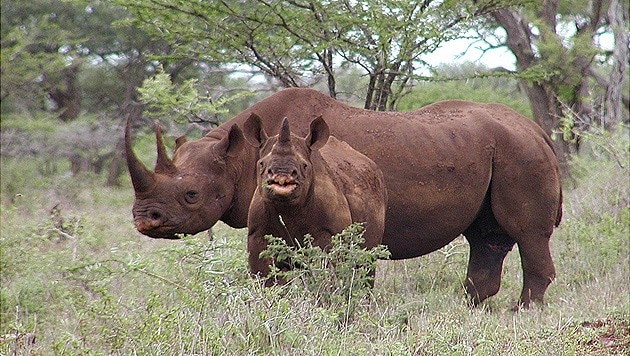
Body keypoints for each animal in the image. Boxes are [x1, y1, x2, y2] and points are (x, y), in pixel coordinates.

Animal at [243, 114, 388, 280]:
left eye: (304, 166)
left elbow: (326, 269)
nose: (282, 175)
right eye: (261, 164)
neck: (288, 209)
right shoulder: (257, 233)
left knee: (366, 263)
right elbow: (265, 275)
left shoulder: (329, 232)